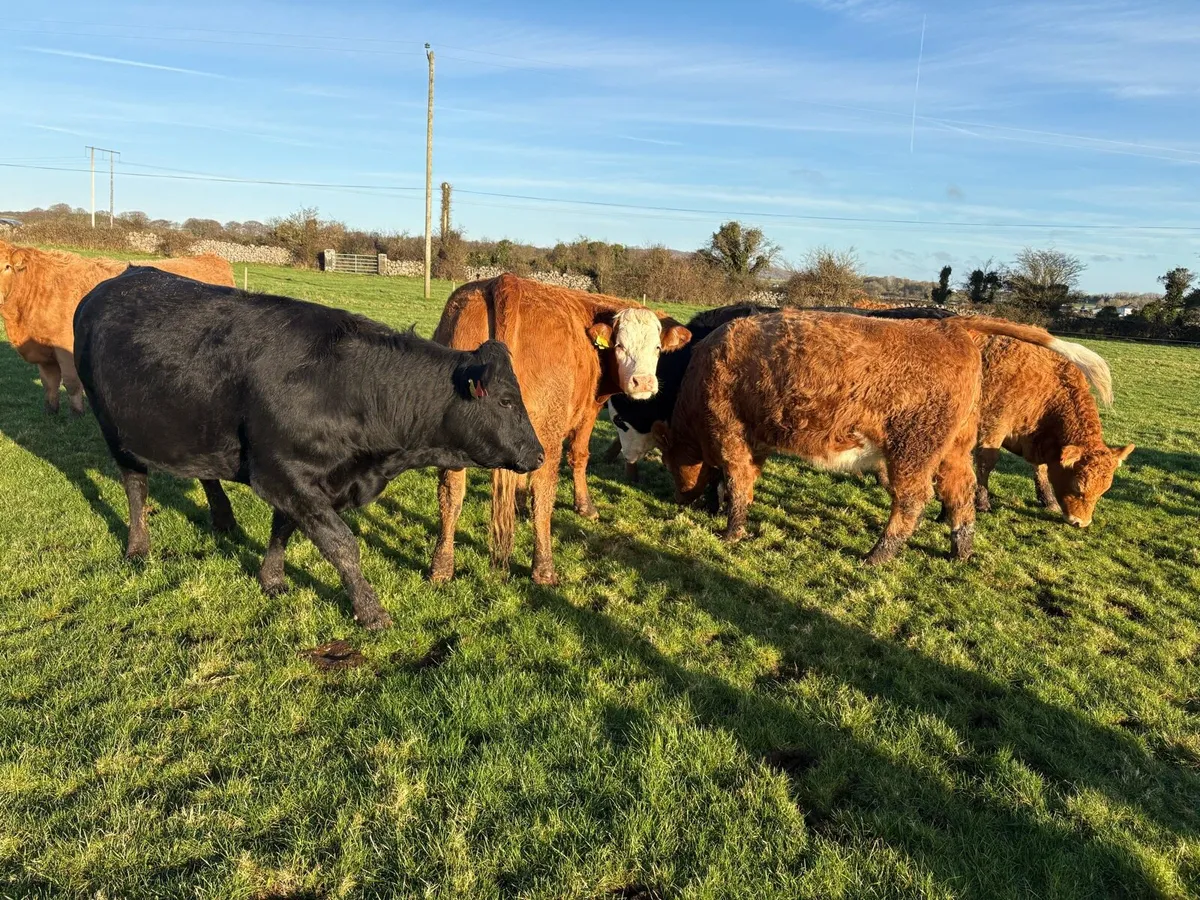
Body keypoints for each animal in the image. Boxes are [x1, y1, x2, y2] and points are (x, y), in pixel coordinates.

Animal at [0, 241, 235, 415]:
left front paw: (77, 414)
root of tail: (210, 257)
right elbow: (49, 383)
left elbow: (71, 383)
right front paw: (51, 412)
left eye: (6, 266)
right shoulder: (43, 351)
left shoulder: (65, 348)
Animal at [74, 267, 543, 629]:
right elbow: (341, 544)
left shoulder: (303, 479)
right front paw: (371, 612)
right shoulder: (281, 473)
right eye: (506, 401)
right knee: (135, 485)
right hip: (113, 427)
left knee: (204, 471)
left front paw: (272, 579)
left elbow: (283, 528)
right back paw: (138, 546)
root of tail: (119, 278)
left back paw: (223, 519)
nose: (538, 454)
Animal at [429, 273, 691, 585]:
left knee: (451, 493)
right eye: (619, 346)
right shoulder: (589, 411)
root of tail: (506, 281)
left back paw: (441, 565)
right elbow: (579, 457)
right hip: (548, 434)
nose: (644, 382)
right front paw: (585, 506)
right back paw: (543, 568)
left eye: (657, 348)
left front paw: (516, 500)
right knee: (543, 495)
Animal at [652, 310, 1112, 563]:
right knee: (960, 495)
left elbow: (737, 482)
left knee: (911, 502)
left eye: (670, 460)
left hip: (913, 450)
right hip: (953, 450)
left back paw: (878, 555)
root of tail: (950, 327)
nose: (679, 497)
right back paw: (961, 551)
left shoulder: (730, 434)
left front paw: (731, 531)